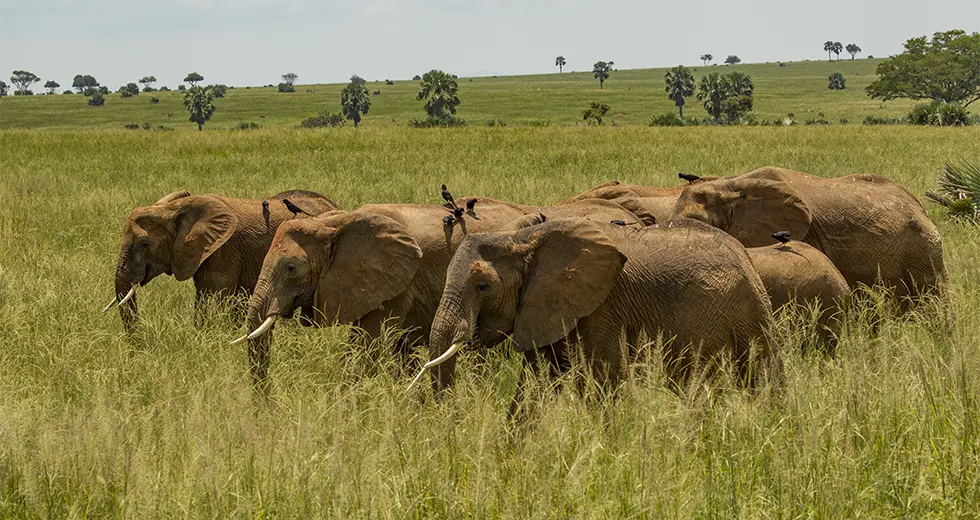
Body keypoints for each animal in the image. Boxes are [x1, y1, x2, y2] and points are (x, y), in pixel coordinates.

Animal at [108, 189, 339, 332]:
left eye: (145, 244)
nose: (138, 343)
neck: (174, 208)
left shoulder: (225, 251)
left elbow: (219, 295)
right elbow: (202, 295)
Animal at [420, 216, 779, 404]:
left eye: (482, 287)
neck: (522, 237)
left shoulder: (602, 307)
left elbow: (605, 382)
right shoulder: (543, 307)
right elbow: (533, 386)